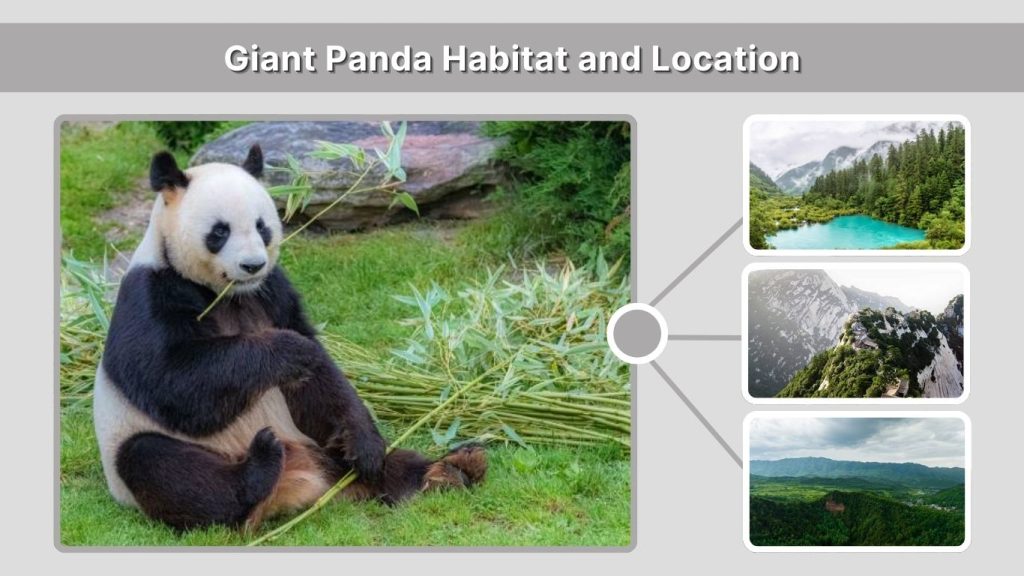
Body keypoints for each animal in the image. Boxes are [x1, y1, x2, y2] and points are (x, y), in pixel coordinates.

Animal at [93, 145, 486, 530]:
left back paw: (450, 469)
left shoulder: (272, 290)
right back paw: (258, 467)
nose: (252, 265)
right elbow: (173, 381)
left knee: (386, 463)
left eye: (262, 226)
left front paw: (364, 445)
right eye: (219, 232)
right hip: (145, 452)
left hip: (316, 445)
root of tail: (294, 485)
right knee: (162, 467)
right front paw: (289, 350)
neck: (230, 294)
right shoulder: (152, 292)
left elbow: (320, 382)